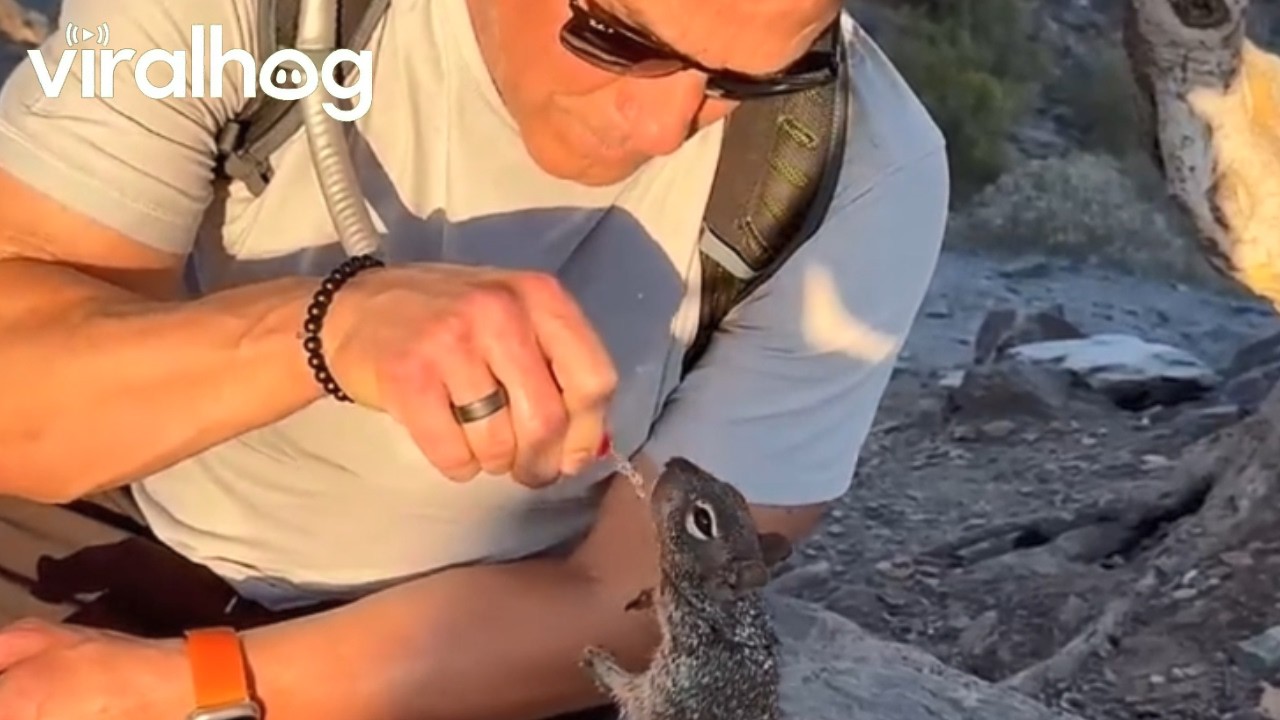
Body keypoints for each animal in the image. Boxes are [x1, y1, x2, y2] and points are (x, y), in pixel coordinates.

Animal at [580, 456, 794, 720]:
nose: (675, 461)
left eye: (703, 519)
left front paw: (599, 663)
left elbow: (631, 695)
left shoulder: (676, 688)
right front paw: (646, 598)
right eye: (734, 491)